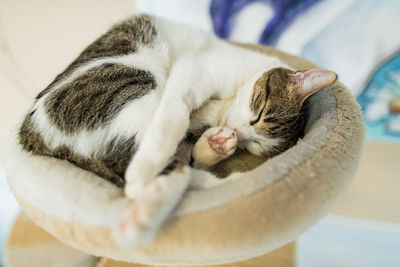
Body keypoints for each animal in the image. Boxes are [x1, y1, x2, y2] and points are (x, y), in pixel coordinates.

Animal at [18, 14, 338, 245]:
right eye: (258, 114)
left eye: (256, 145)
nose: (239, 134)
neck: (221, 107)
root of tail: (31, 135)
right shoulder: (195, 70)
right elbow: (174, 119)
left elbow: (191, 147)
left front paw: (215, 144)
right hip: (138, 85)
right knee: (166, 162)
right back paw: (145, 201)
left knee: (181, 168)